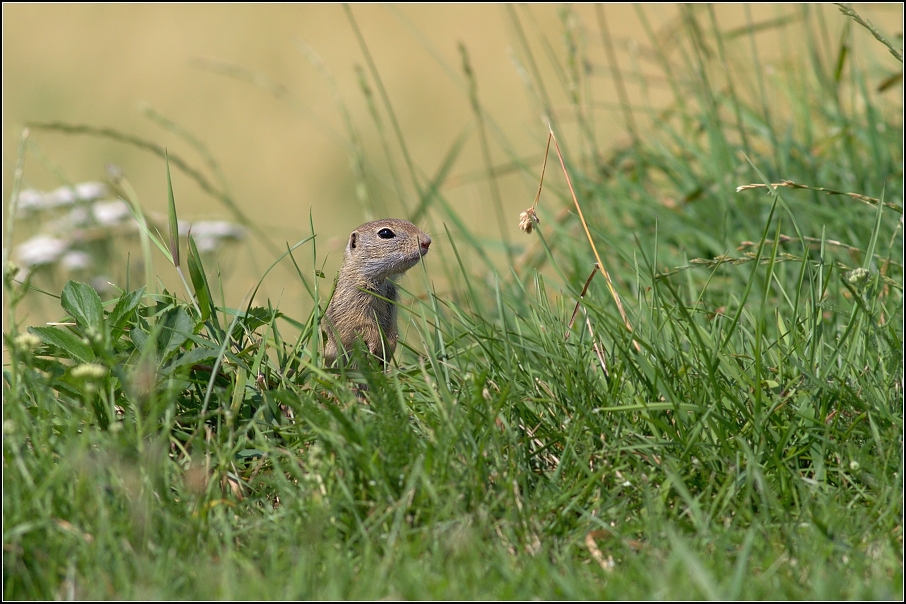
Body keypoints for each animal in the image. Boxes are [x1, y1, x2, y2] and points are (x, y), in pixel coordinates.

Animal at [322, 218, 430, 368]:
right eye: (385, 233)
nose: (427, 241)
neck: (382, 281)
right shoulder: (354, 305)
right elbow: (363, 328)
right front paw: (377, 347)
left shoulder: (392, 304)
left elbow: (392, 329)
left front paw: (389, 347)